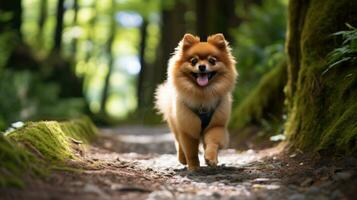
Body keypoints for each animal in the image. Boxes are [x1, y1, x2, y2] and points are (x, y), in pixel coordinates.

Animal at [155, 33, 236, 171]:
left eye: (212, 61)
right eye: (193, 61)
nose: (202, 66)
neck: (202, 95)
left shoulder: (216, 126)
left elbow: (212, 142)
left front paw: (211, 158)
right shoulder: (188, 129)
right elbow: (190, 151)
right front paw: (194, 167)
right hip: (175, 124)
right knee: (178, 142)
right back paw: (182, 159)